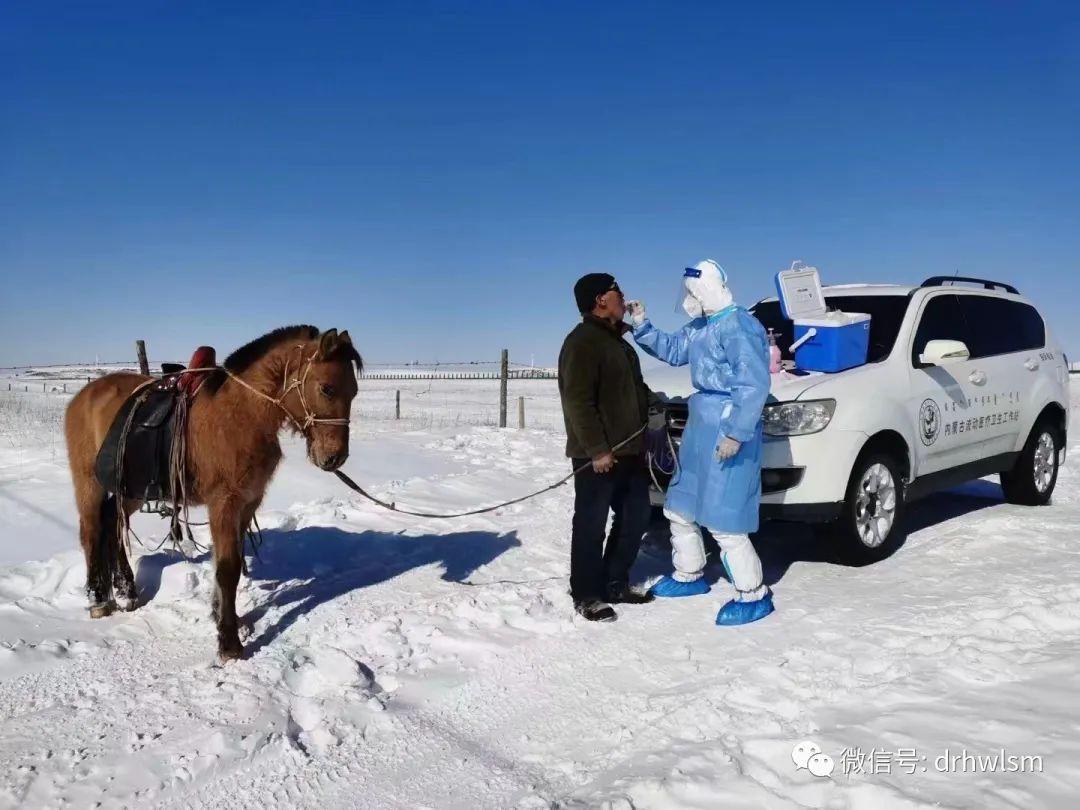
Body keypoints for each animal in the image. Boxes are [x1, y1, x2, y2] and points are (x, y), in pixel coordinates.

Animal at [66, 324, 362, 660]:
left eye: (353, 391)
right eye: (327, 388)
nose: (335, 458)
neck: (242, 413)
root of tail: (84, 396)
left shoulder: (247, 503)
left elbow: (229, 564)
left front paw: (224, 618)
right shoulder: (224, 503)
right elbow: (228, 569)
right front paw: (229, 642)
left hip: (130, 491)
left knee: (113, 526)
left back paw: (126, 590)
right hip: (89, 484)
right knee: (91, 530)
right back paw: (99, 599)